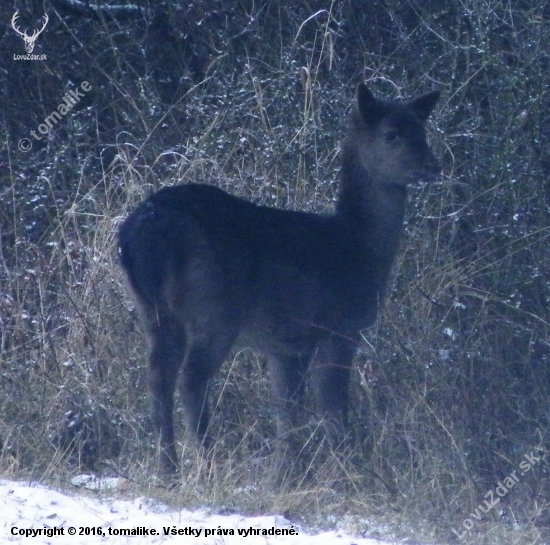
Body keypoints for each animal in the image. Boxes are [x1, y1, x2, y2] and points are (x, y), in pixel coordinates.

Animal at [118, 84, 442, 472]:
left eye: (422, 130)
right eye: (392, 134)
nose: (432, 165)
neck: (360, 247)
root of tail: (144, 231)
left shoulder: (285, 345)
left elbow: (286, 416)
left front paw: (287, 474)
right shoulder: (338, 328)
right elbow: (333, 409)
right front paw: (352, 471)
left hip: (152, 311)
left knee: (158, 379)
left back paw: (169, 469)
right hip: (213, 309)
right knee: (191, 379)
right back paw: (207, 462)